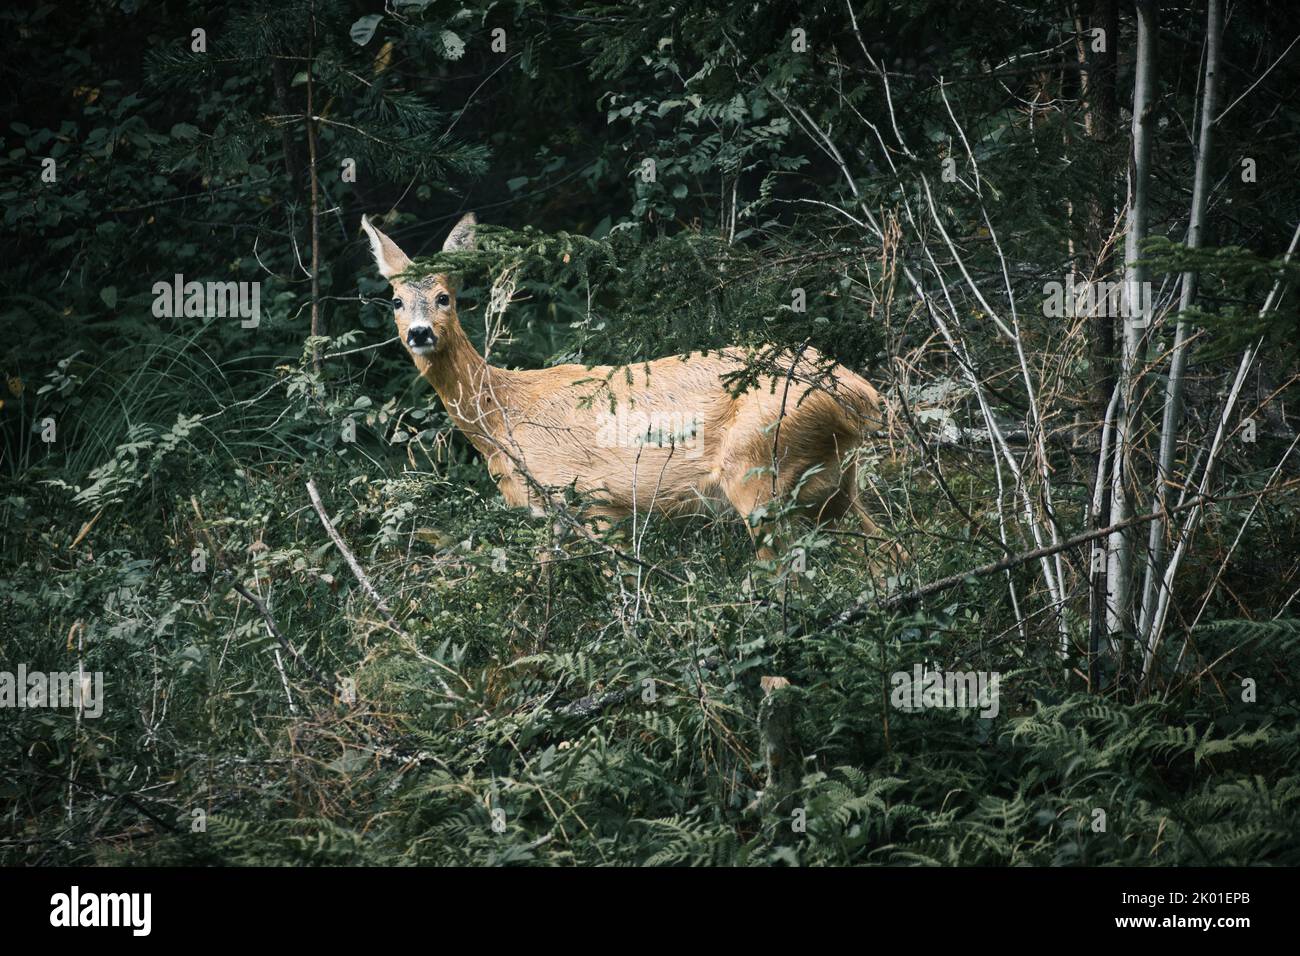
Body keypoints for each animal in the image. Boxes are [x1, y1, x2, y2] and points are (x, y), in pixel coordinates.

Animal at [360, 212, 896, 568]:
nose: (420, 333)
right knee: (885, 547)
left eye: (443, 297)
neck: (503, 416)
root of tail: (861, 395)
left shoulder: (593, 498)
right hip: (833, 483)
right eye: (396, 301)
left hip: (758, 467)